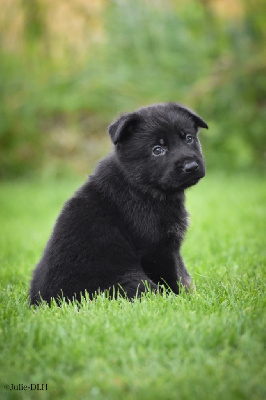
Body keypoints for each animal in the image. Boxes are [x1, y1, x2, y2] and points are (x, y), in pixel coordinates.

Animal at [29, 101, 208, 304]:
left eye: (188, 138)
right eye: (157, 150)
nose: (191, 166)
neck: (139, 186)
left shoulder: (170, 246)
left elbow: (183, 273)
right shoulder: (156, 248)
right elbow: (171, 278)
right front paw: (179, 300)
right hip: (131, 280)